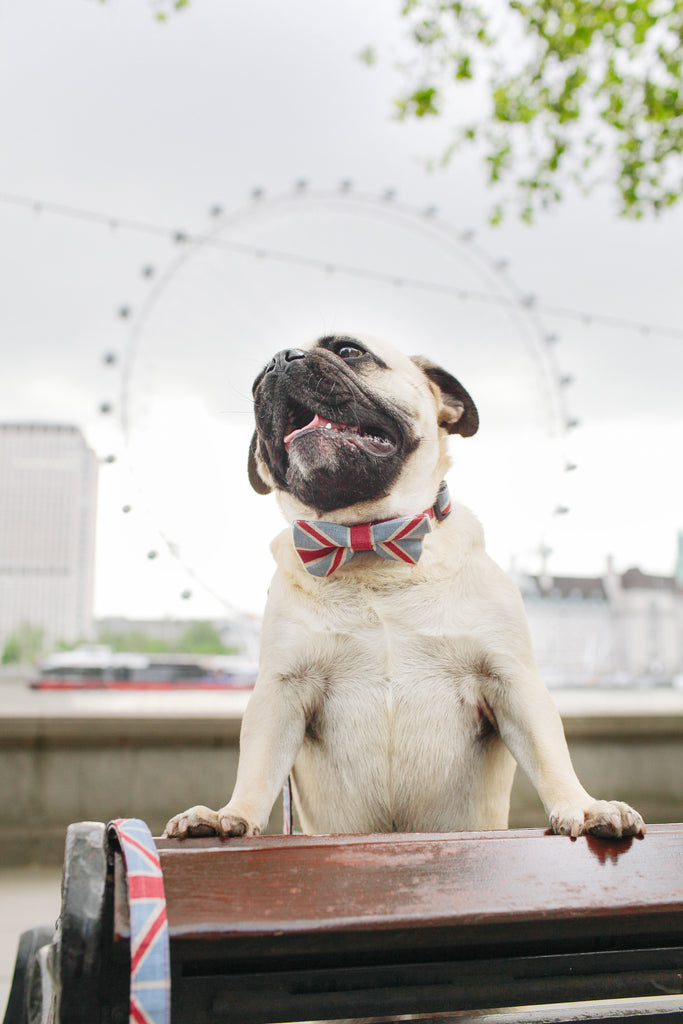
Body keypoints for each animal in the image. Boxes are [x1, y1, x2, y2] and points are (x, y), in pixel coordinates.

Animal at [165, 333, 647, 839]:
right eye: (259, 379)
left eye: (349, 351)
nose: (279, 362)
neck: (370, 542)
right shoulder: (281, 693)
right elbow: (256, 771)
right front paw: (231, 816)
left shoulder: (512, 681)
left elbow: (551, 757)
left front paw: (584, 807)